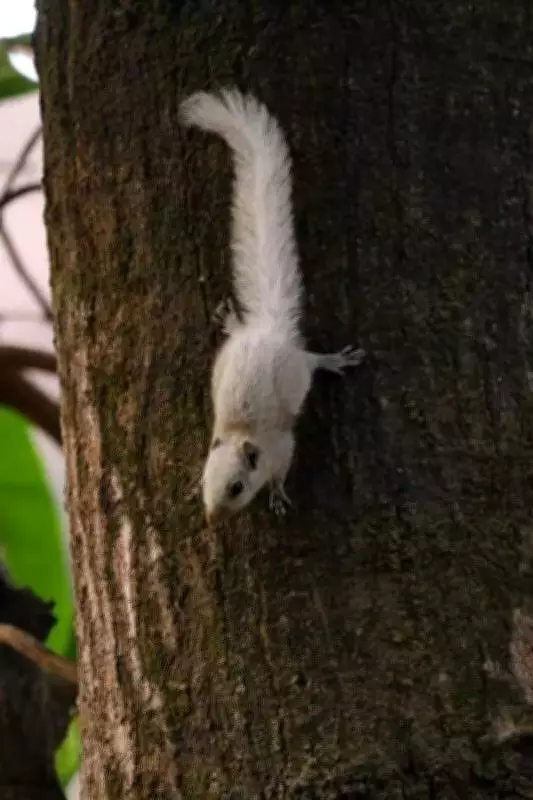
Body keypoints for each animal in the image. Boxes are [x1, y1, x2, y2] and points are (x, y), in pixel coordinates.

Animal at [179, 88, 365, 525]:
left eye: (236, 487)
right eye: (204, 481)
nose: (212, 519)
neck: (239, 435)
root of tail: (269, 327)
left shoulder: (283, 449)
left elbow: (282, 472)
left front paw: (278, 495)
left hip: (297, 372)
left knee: (312, 361)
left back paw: (336, 360)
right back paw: (232, 321)